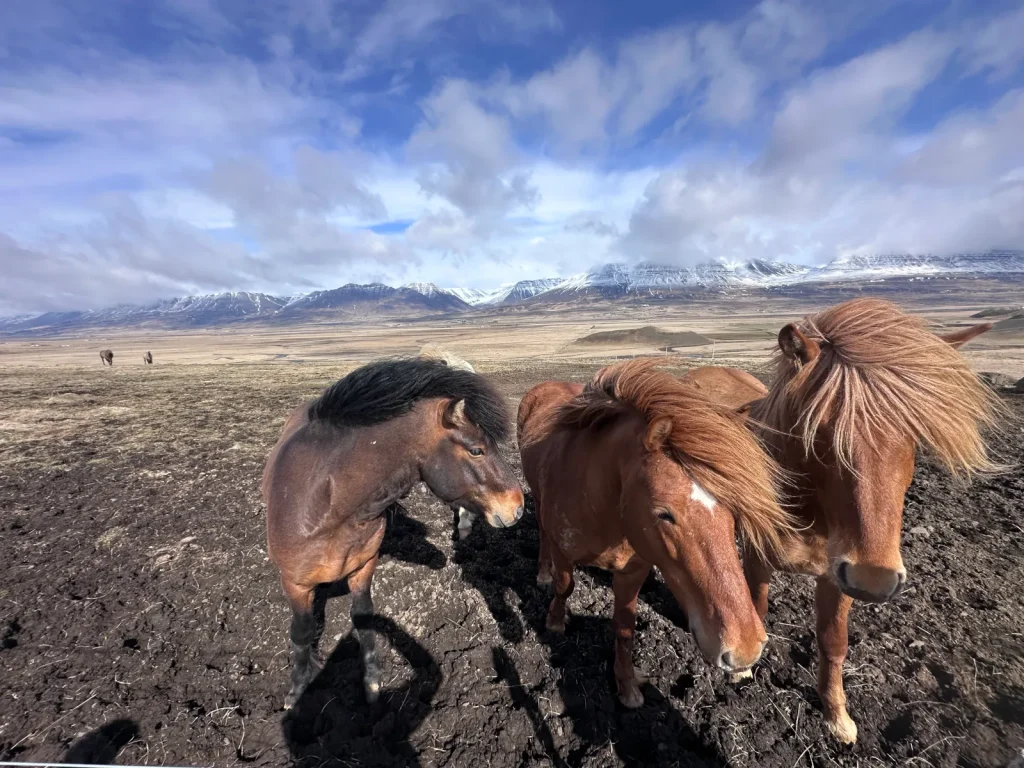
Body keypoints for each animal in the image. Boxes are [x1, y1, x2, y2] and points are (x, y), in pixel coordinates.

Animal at [263, 358, 525, 708]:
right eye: (476, 450)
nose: (518, 507)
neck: (328, 506)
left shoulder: (363, 567)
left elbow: (363, 618)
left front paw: (372, 681)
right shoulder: (295, 584)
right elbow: (302, 632)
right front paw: (297, 690)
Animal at [518, 359, 793, 708]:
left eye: (733, 508)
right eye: (664, 514)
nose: (745, 648)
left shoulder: (633, 571)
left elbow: (625, 627)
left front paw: (627, 687)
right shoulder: (563, 550)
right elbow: (564, 586)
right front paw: (555, 623)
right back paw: (542, 573)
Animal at [681, 298, 999, 743]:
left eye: (916, 435)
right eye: (819, 433)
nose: (875, 581)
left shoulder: (838, 574)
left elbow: (834, 643)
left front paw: (837, 718)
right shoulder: (757, 559)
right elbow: (756, 606)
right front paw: (742, 671)